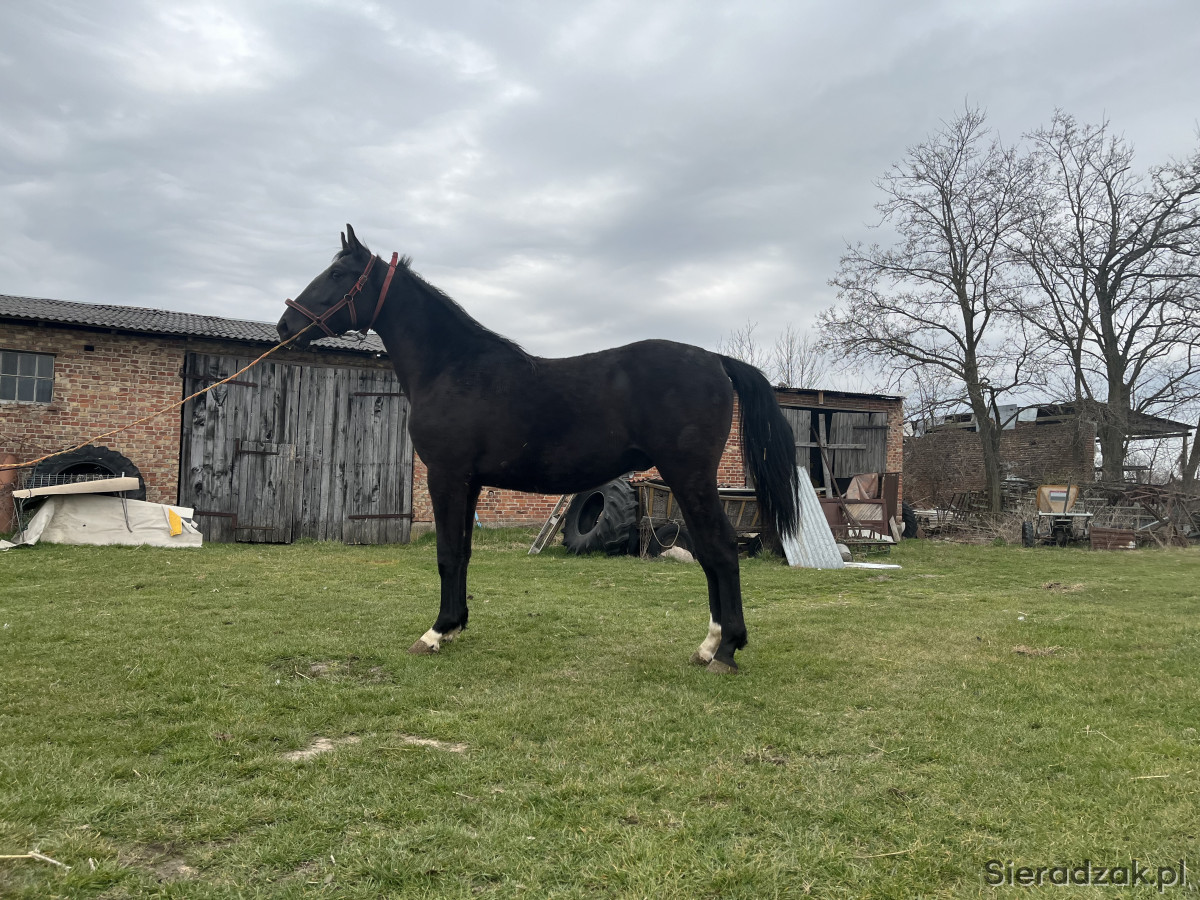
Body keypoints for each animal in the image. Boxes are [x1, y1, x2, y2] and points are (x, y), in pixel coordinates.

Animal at [276, 226, 799, 673]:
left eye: (338, 275)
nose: (284, 325)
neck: (453, 368)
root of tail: (715, 360)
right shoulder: (469, 483)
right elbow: (462, 553)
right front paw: (456, 626)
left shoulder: (445, 475)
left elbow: (446, 553)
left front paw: (435, 633)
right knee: (712, 552)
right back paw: (710, 645)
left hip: (689, 476)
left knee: (721, 550)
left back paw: (724, 650)